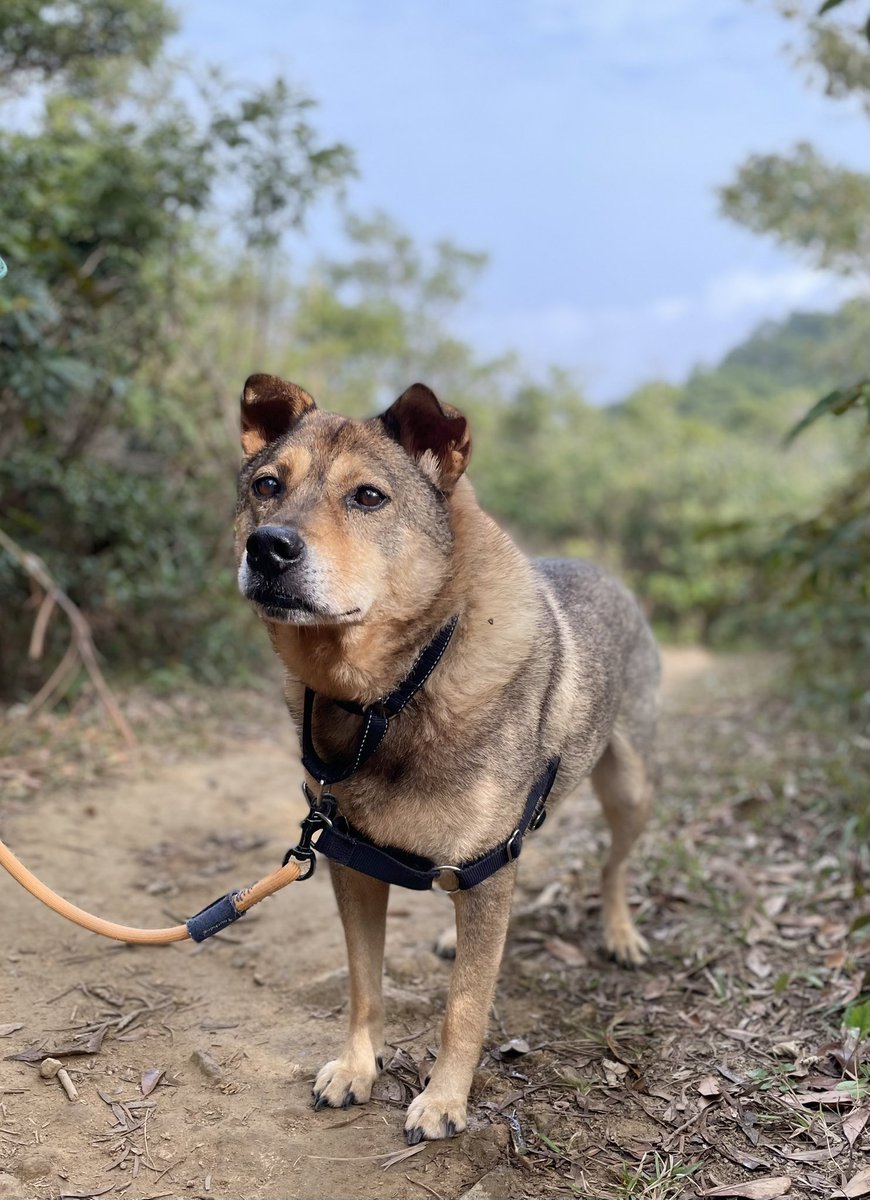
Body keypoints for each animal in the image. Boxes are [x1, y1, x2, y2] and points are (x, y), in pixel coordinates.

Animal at [232, 372, 657, 1142]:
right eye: (267, 486)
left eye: (369, 497)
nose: (267, 547)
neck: (387, 700)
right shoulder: (351, 861)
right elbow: (364, 984)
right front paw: (358, 1068)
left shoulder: (489, 862)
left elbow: (464, 1008)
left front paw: (444, 1100)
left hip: (630, 787)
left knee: (613, 866)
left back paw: (619, 932)